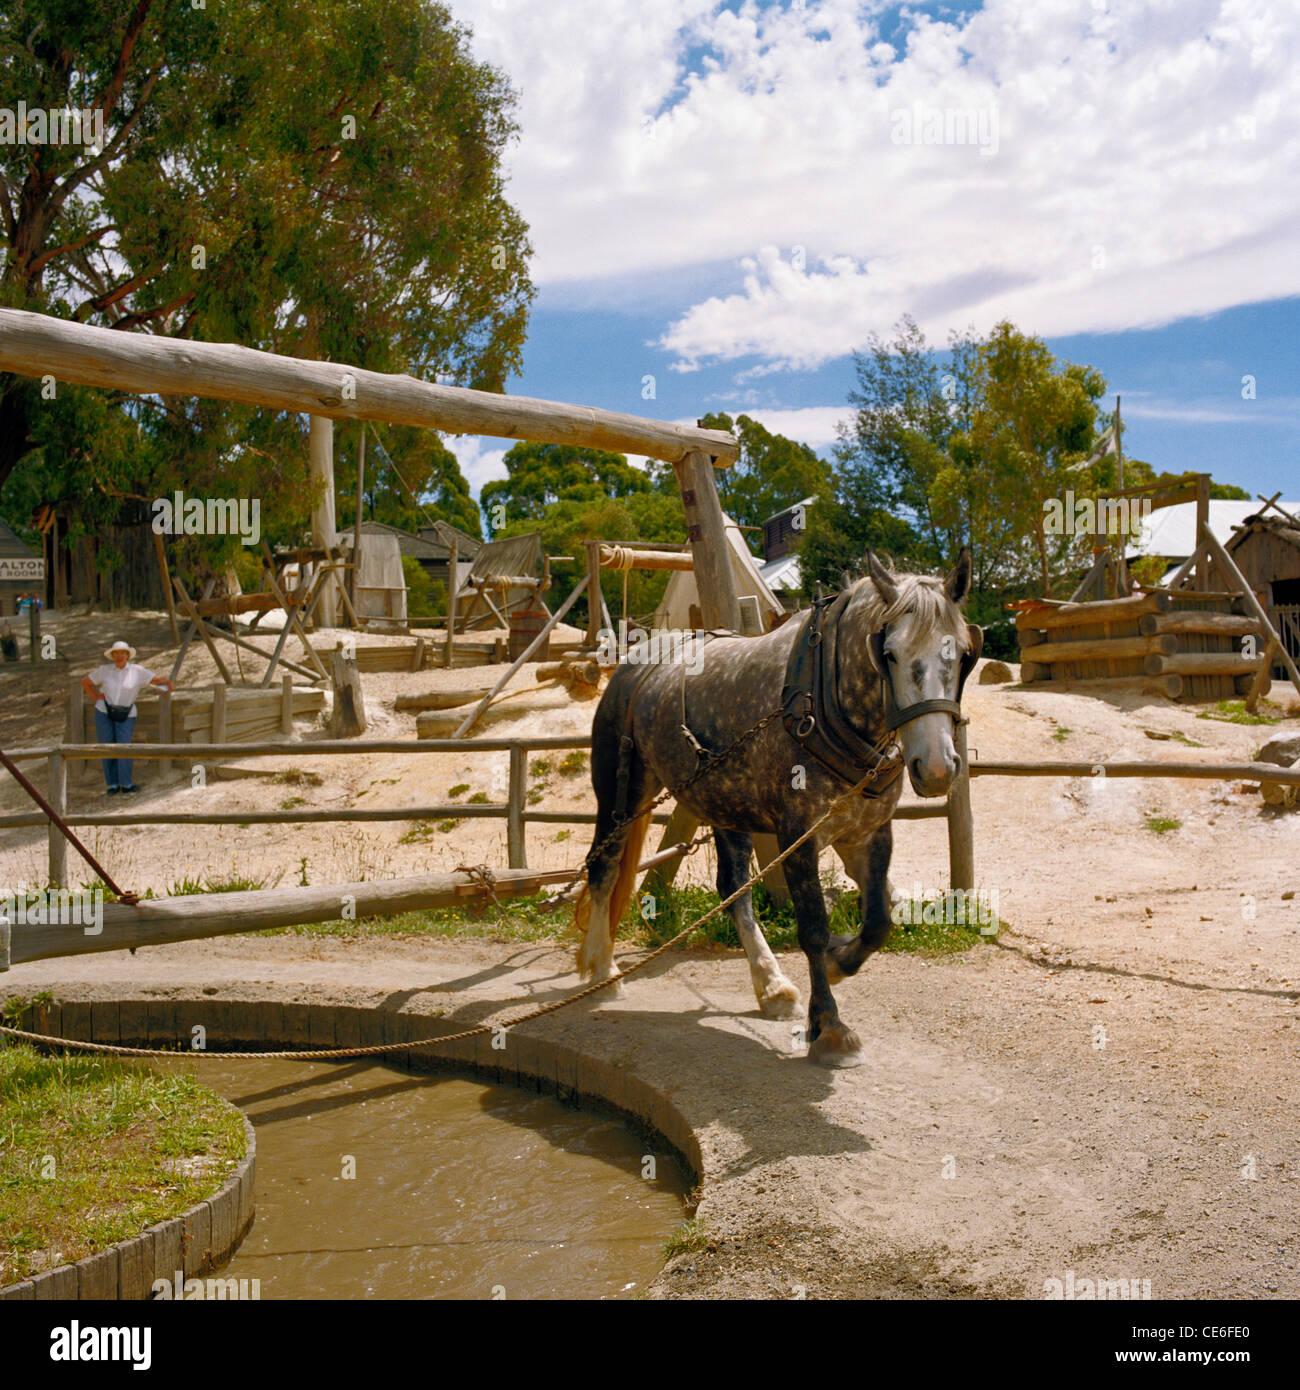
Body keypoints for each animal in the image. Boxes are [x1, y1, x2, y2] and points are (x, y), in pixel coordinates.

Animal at [575, 547, 978, 1067]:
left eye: (964, 654)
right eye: (889, 653)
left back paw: (771, 985)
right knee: (603, 866)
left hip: (722, 802)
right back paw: (602, 971)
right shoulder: (797, 834)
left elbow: (878, 921)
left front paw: (840, 962)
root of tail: (636, 662)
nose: (936, 768)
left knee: (733, 888)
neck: (822, 695)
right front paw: (829, 1025)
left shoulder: (867, 832)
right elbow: (812, 926)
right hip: (621, 794)